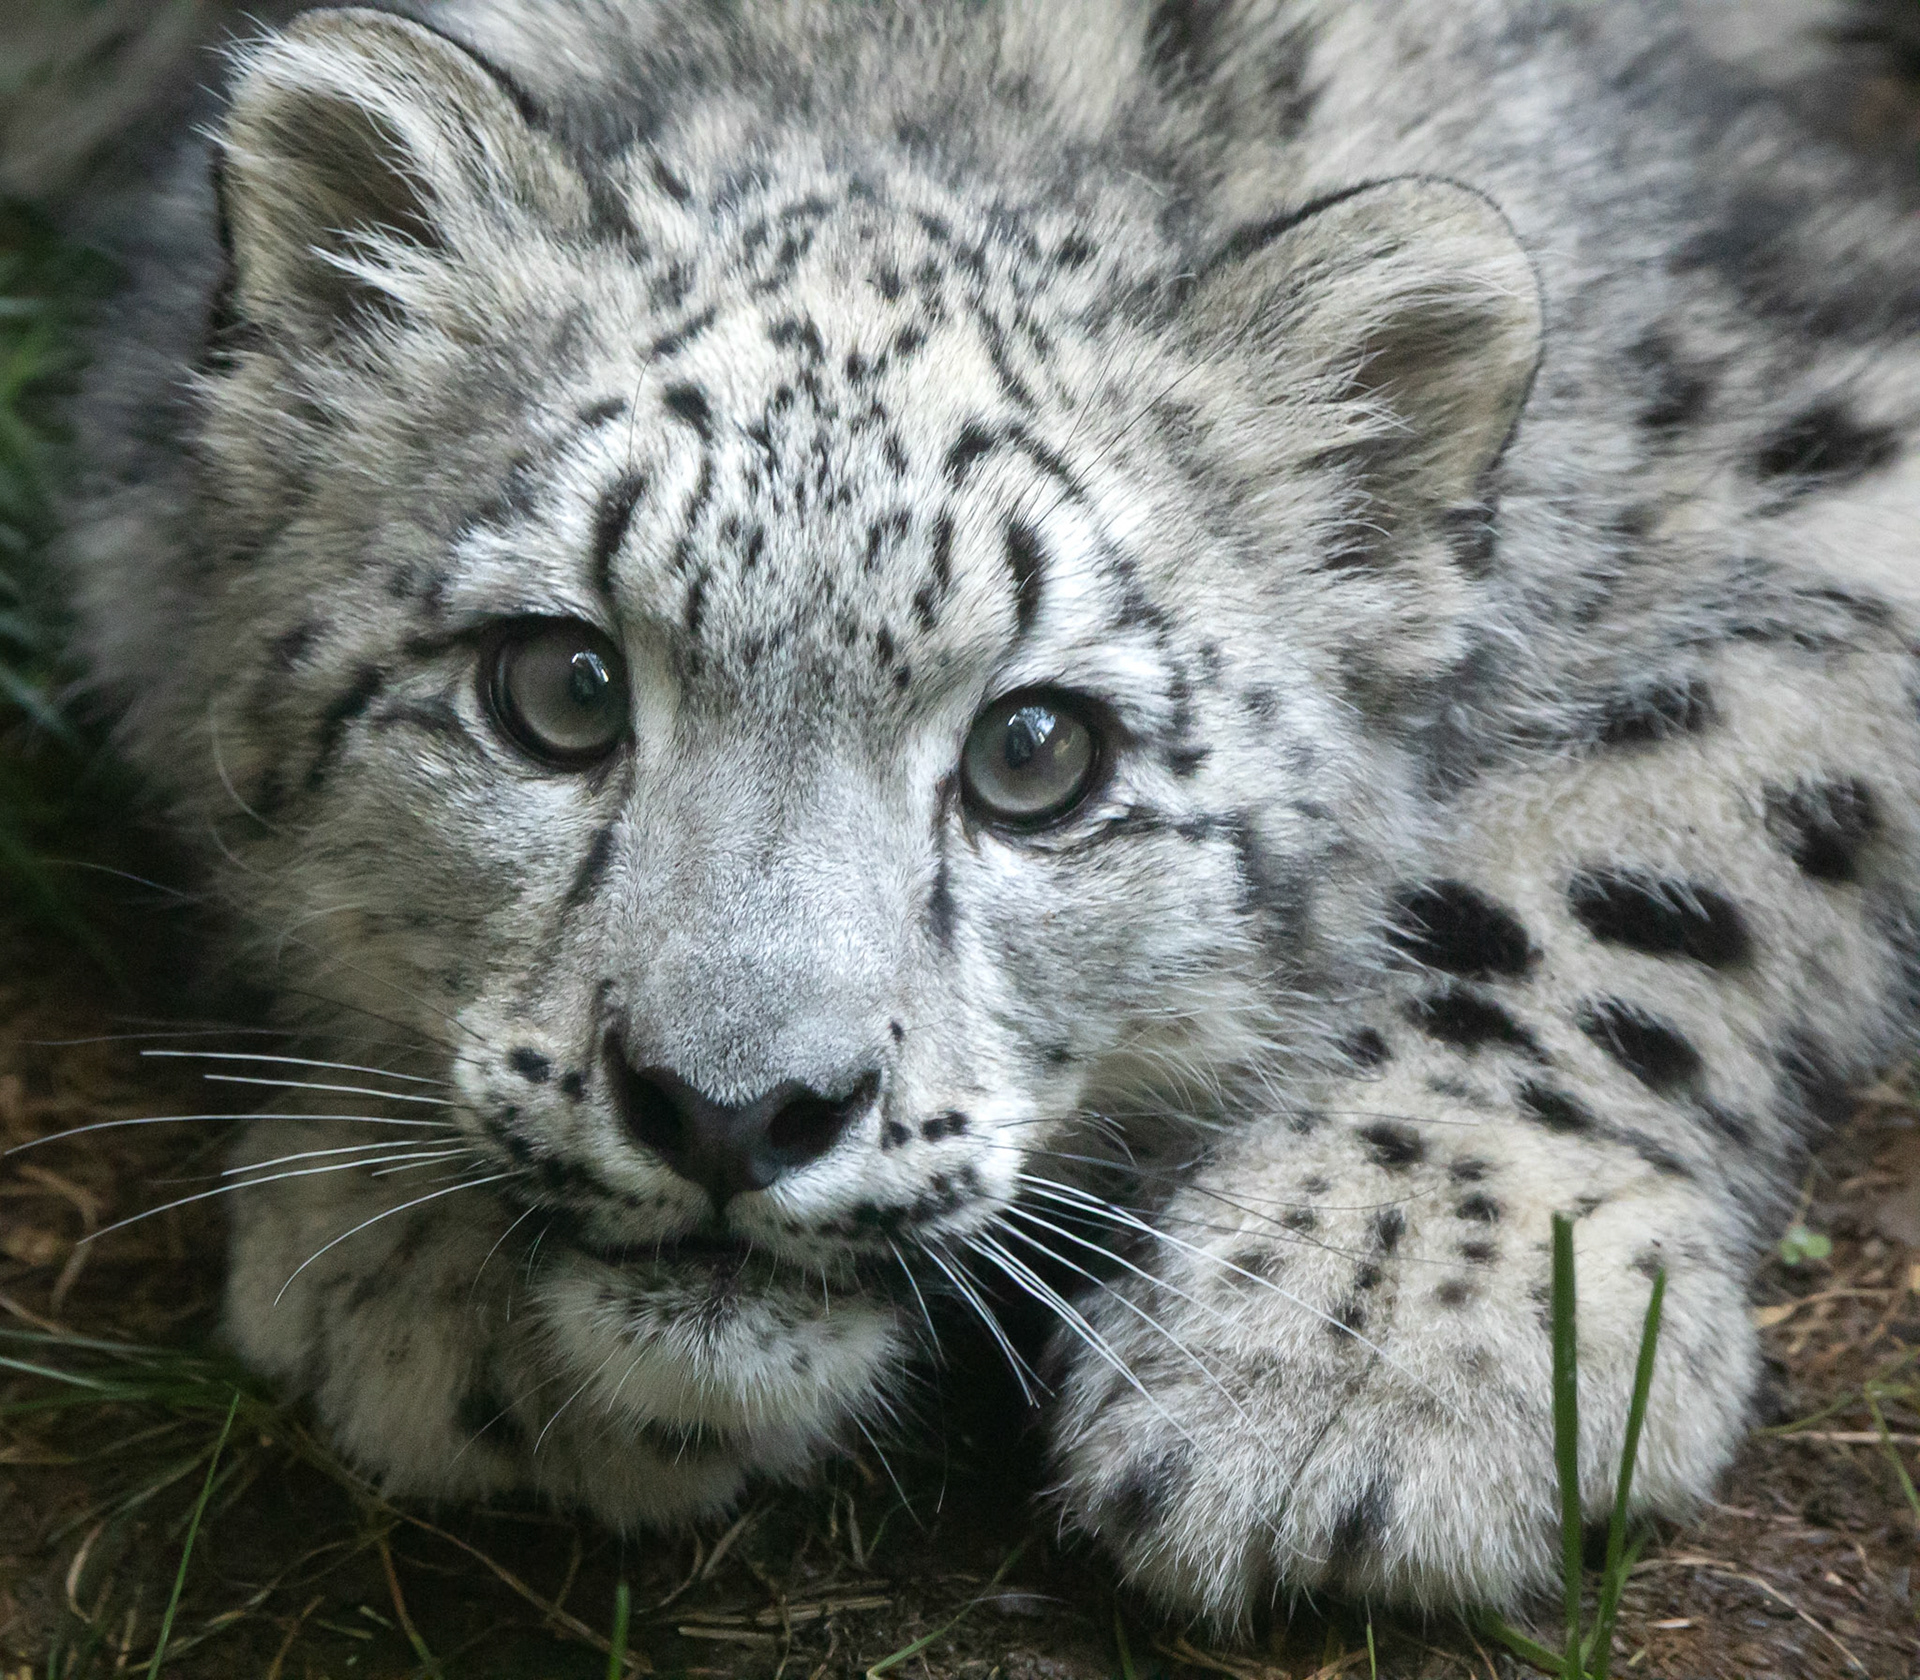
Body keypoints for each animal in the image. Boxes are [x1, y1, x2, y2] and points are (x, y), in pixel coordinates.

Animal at [41, 0, 1920, 1629]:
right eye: (557, 686)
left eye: (1037, 751)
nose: (733, 1111)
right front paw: (427, 1269)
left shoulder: (1832, 458)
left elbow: (1648, 837)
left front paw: (1367, 1339)